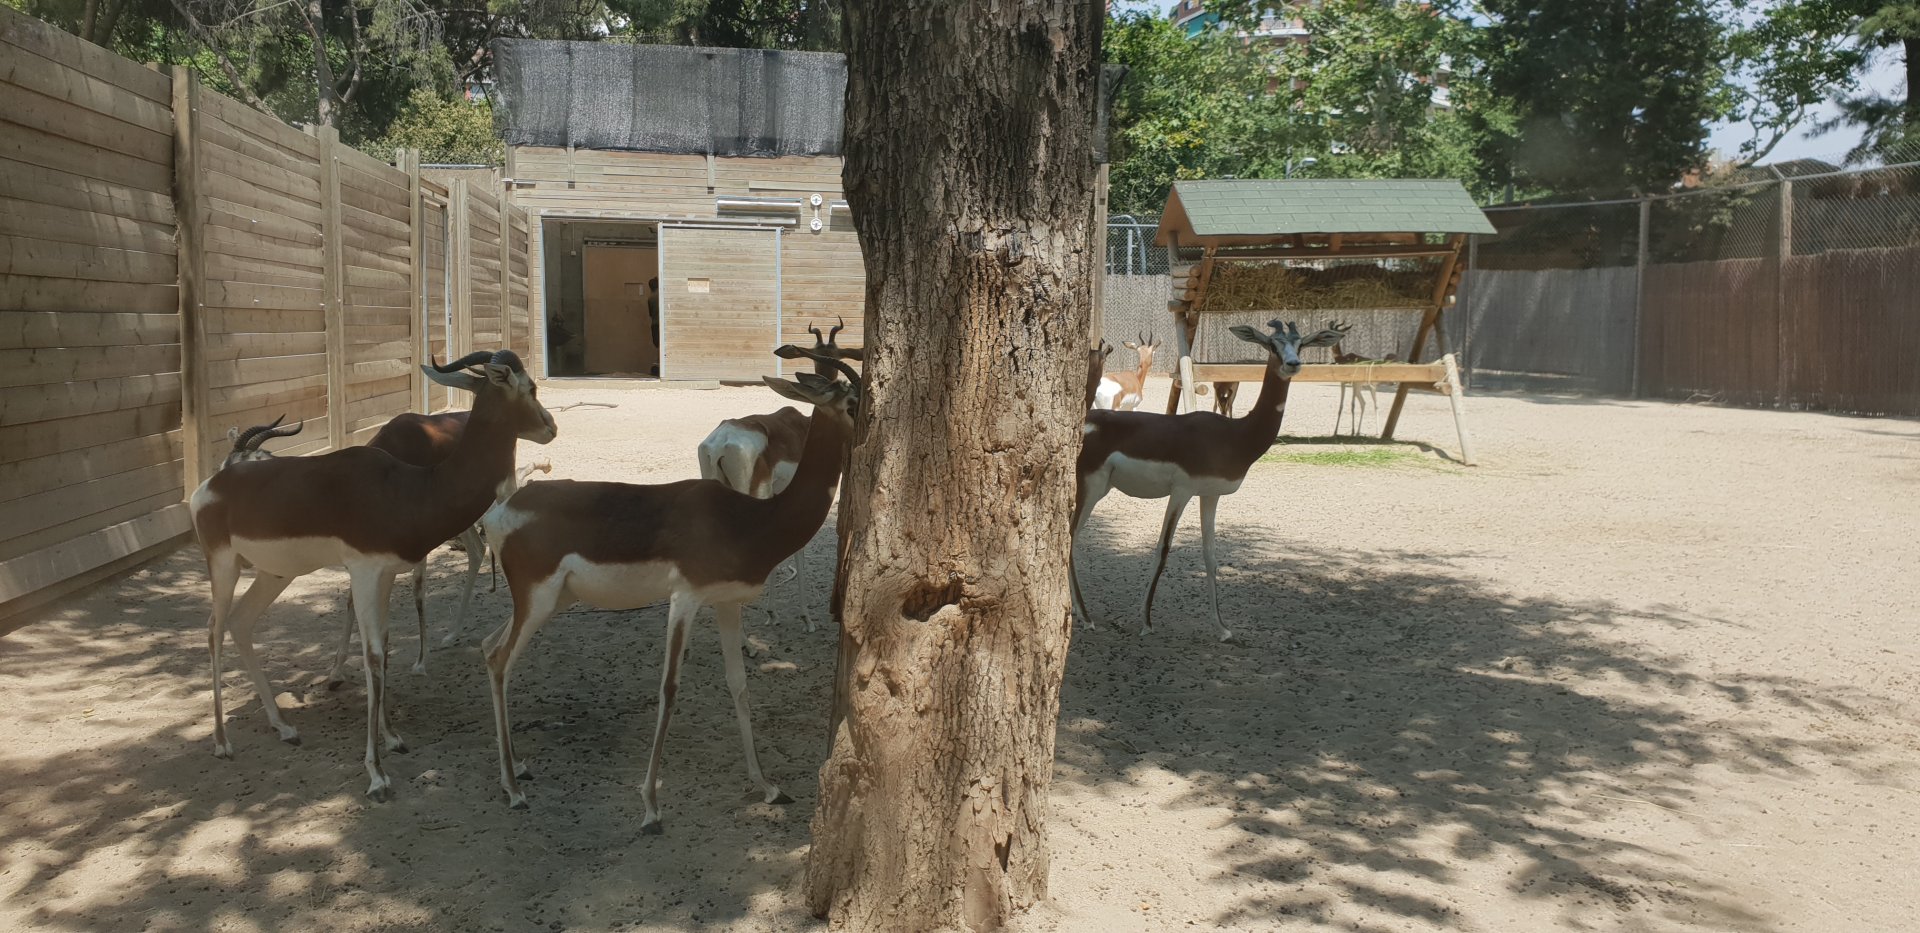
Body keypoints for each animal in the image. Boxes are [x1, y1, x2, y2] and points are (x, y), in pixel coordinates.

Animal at [189, 349, 556, 801]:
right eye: (530, 388)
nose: (551, 426)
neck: (408, 488)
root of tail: (208, 486)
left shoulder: (383, 574)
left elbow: (383, 645)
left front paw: (393, 738)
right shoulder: (363, 572)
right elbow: (373, 657)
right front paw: (376, 773)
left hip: (274, 574)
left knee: (240, 624)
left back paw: (284, 727)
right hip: (223, 565)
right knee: (213, 630)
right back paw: (222, 742)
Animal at [479, 346, 858, 829]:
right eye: (852, 403)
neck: (749, 521)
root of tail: (497, 514)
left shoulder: (726, 603)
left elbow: (739, 684)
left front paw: (769, 787)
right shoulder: (685, 600)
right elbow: (670, 690)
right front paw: (651, 807)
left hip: (547, 601)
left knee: (488, 648)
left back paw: (517, 770)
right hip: (538, 600)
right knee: (501, 661)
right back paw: (513, 790)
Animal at [1071, 320, 1349, 641]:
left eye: (1300, 343)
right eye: (1272, 345)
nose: (1292, 364)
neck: (1234, 435)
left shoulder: (1210, 494)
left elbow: (1211, 556)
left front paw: (1222, 628)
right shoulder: (1182, 491)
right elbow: (1162, 550)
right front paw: (1146, 622)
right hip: (1093, 486)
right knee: (1070, 537)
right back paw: (1087, 618)